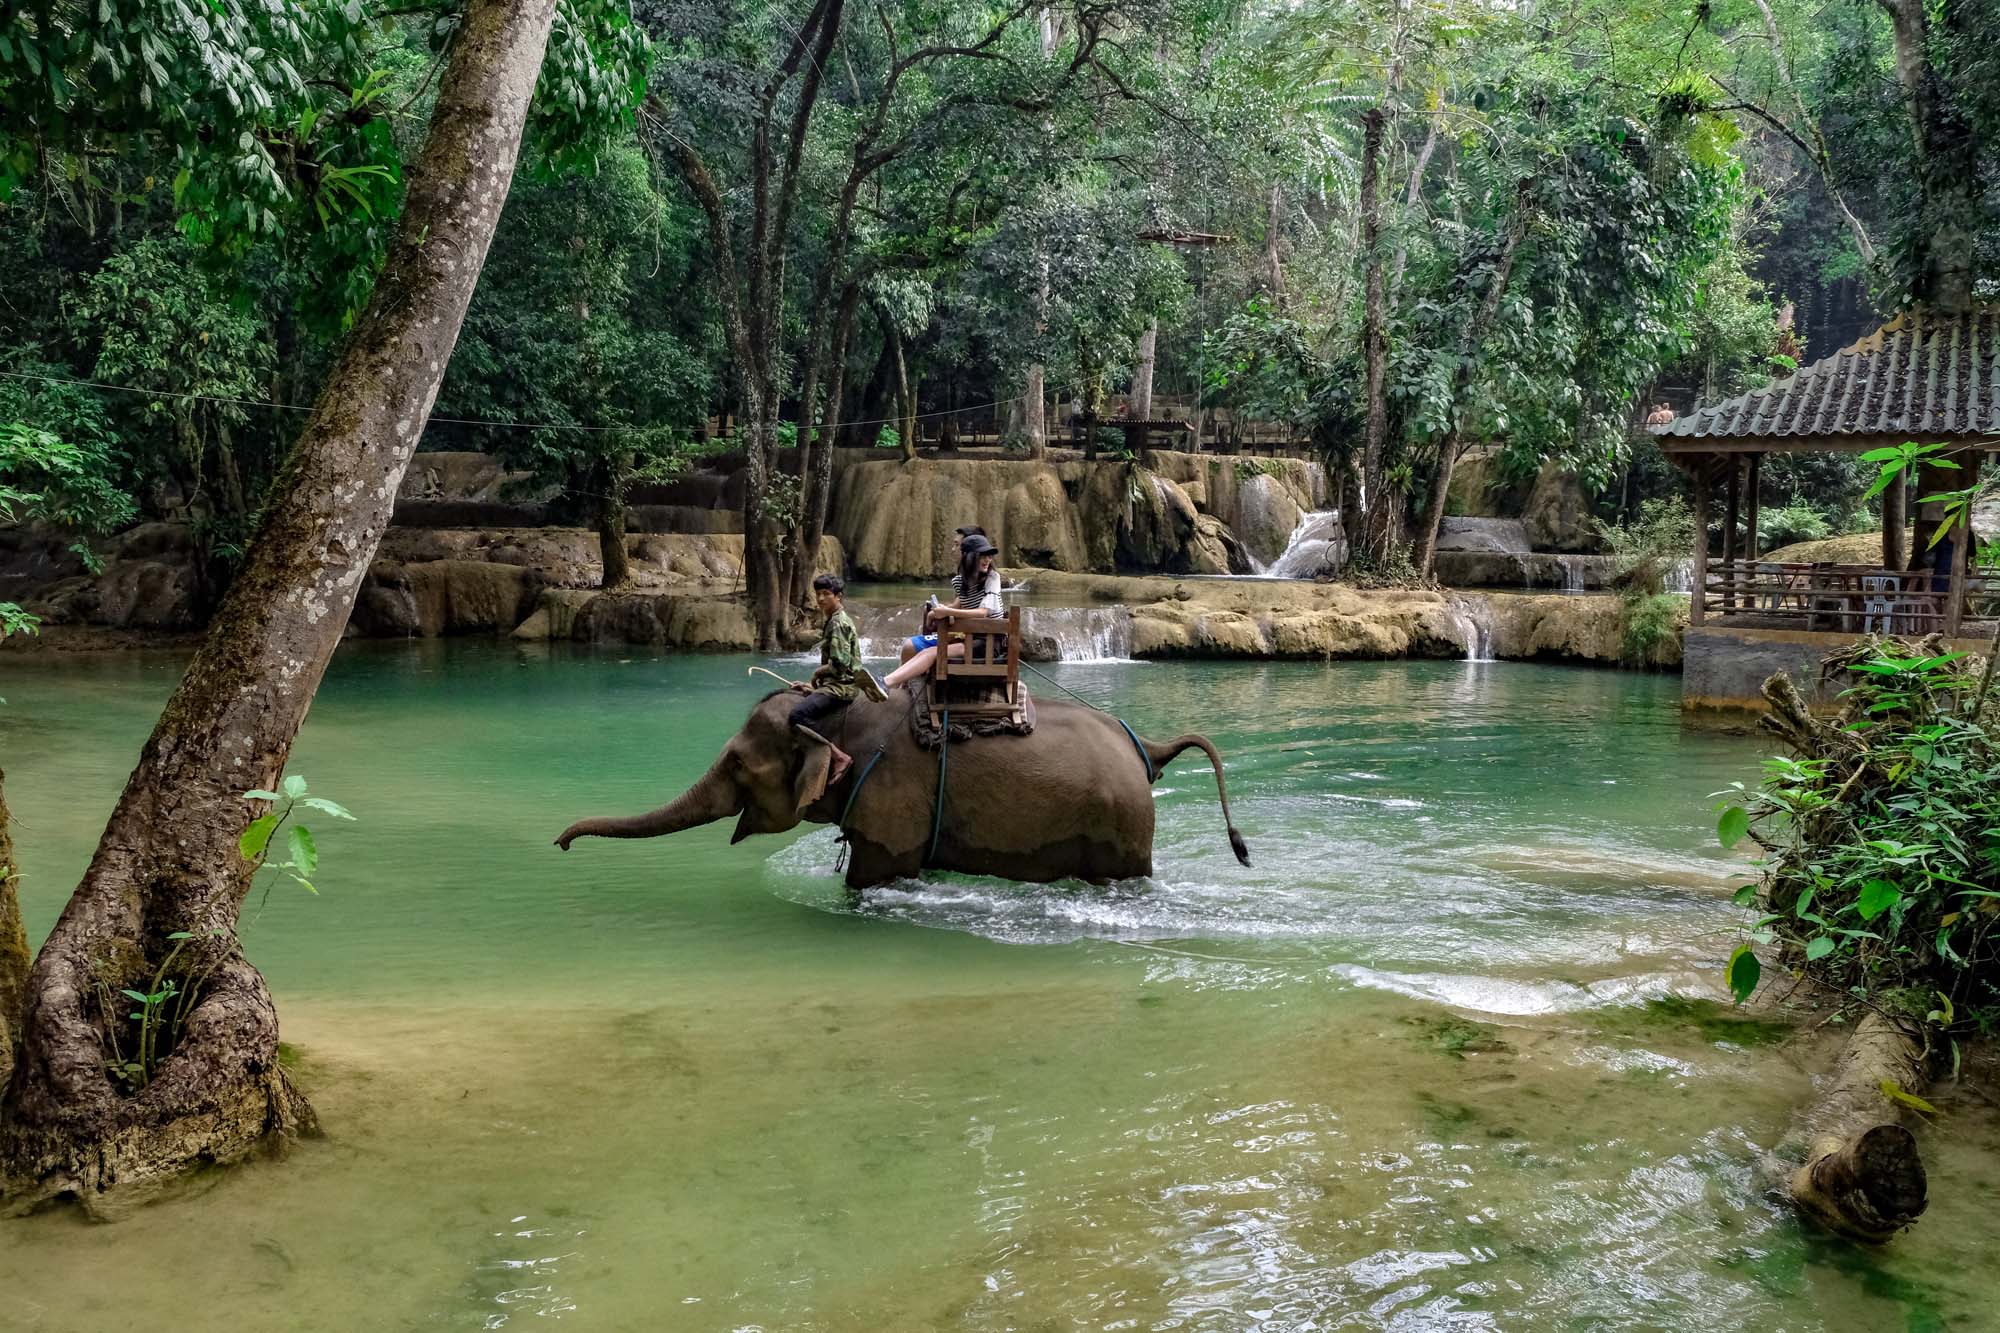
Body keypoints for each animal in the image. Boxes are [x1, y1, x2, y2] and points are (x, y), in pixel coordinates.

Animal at [554, 688, 1250, 888]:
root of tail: (1146, 748)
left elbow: (872, 877)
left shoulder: (892, 798)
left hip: (1120, 825)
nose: (559, 845)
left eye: (737, 768)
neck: (836, 718)